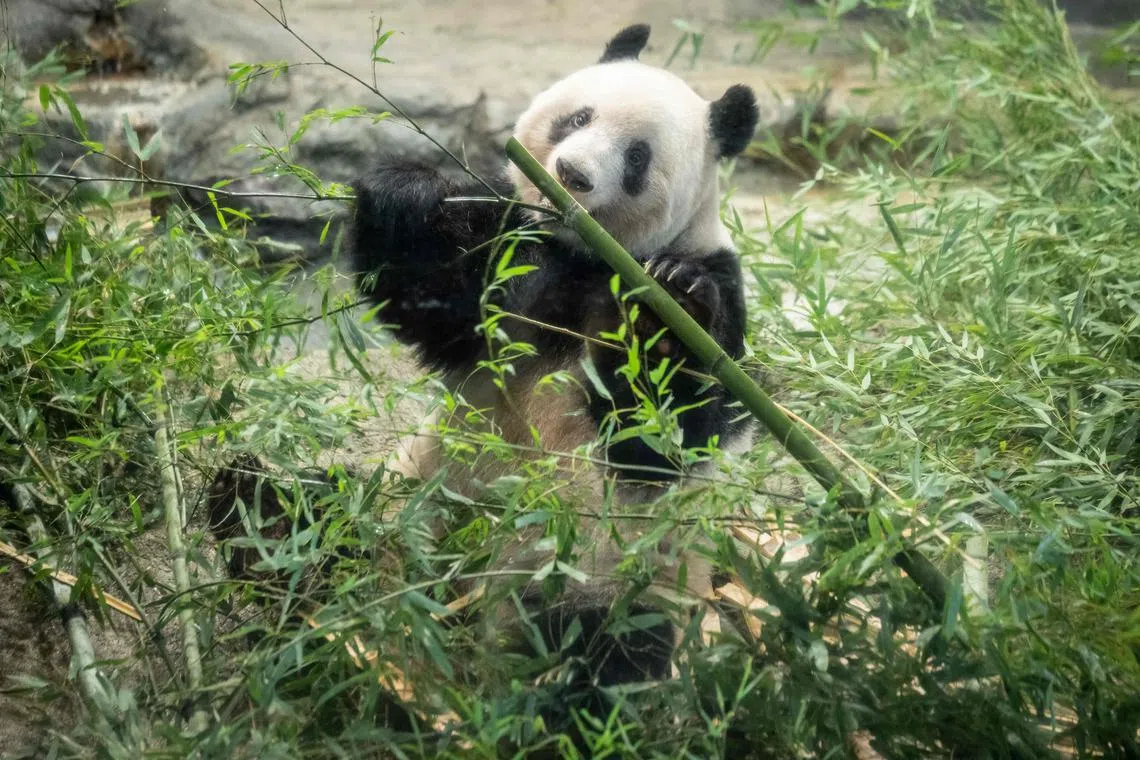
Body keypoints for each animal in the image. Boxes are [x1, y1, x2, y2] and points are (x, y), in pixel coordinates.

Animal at [348, 24, 760, 685]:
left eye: (638, 158)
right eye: (579, 117)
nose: (571, 172)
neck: (584, 253)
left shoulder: (716, 286)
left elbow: (663, 434)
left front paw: (669, 305)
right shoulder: (513, 253)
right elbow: (431, 294)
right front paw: (407, 193)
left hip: (604, 576)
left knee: (610, 646)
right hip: (405, 505)